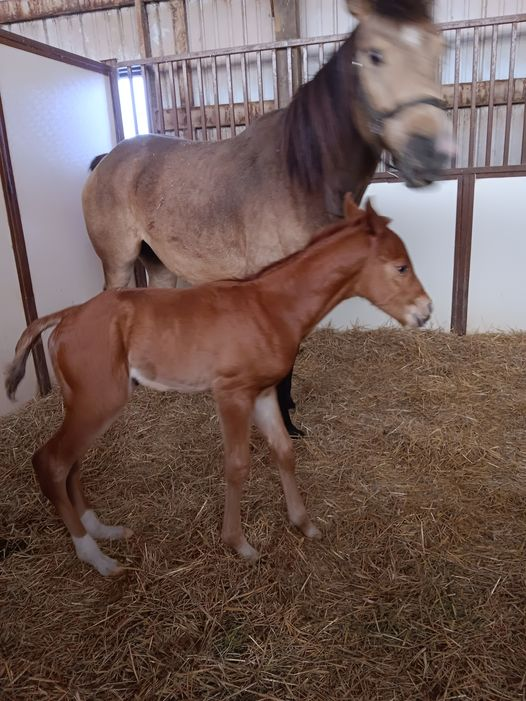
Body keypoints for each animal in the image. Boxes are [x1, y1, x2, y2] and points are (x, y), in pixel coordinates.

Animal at [6, 195, 431, 576]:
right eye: (400, 267)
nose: (425, 311)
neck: (270, 307)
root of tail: (67, 315)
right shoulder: (232, 394)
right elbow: (237, 464)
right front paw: (239, 544)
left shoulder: (262, 393)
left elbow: (283, 451)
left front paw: (304, 524)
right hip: (98, 402)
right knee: (52, 462)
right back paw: (95, 557)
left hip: (84, 403)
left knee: (70, 463)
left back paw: (102, 529)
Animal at [83, 0, 450, 436]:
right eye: (376, 55)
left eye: (439, 48)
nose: (430, 154)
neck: (299, 174)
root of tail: (107, 159)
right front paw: (285, 423)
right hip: (119, 262)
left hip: (158, 265)